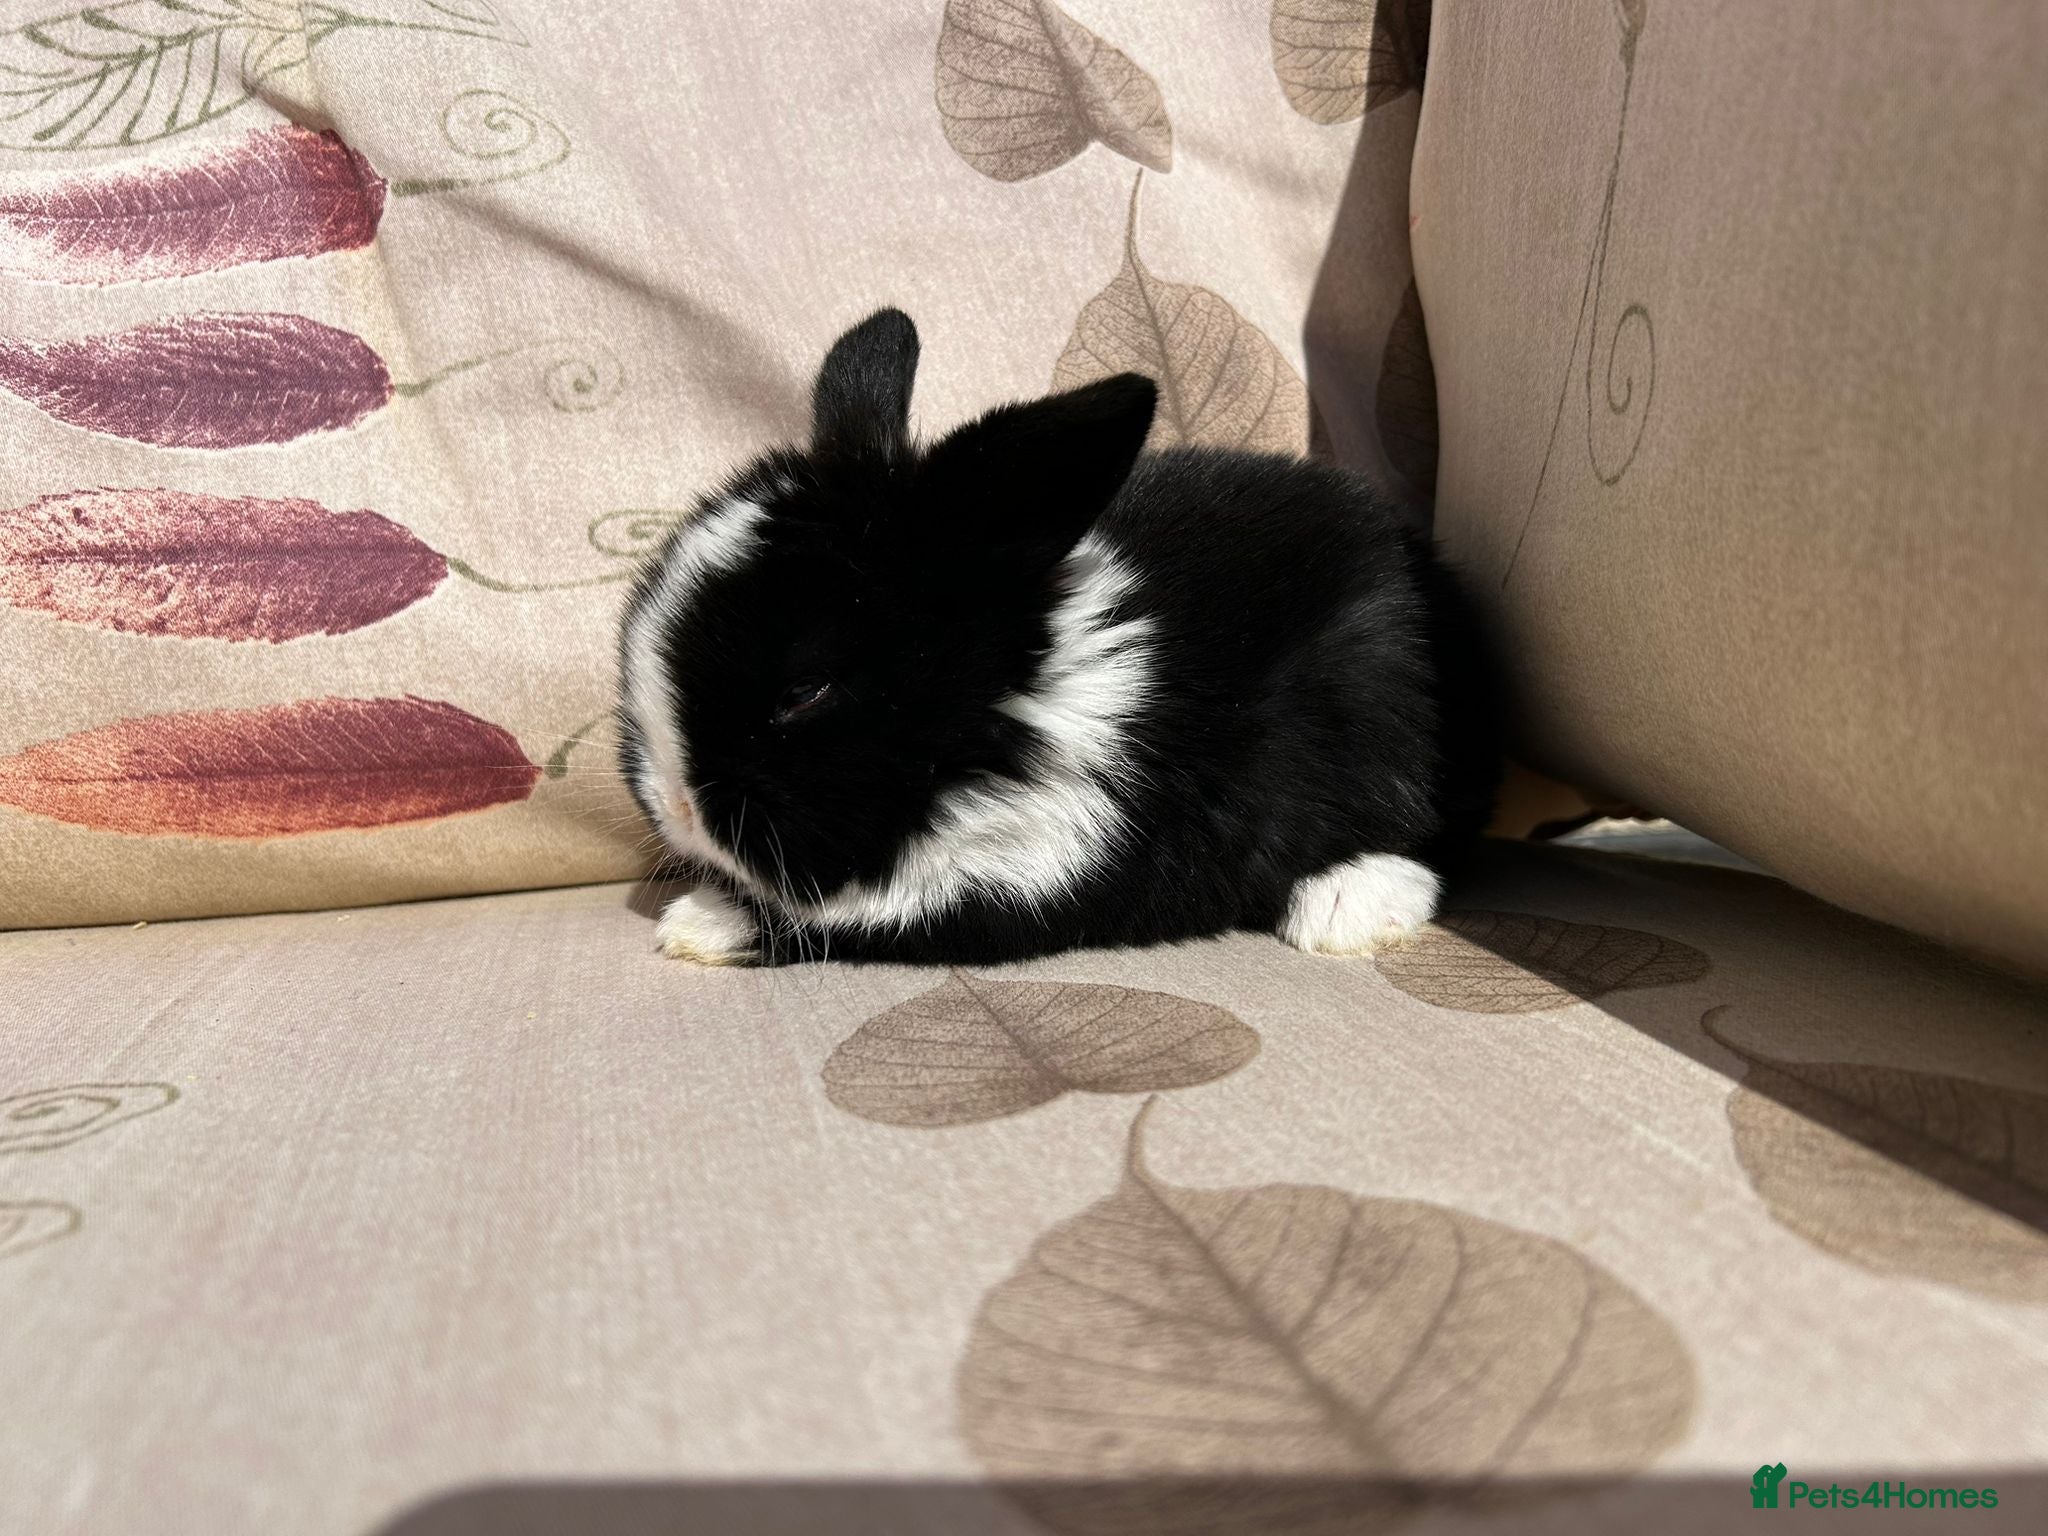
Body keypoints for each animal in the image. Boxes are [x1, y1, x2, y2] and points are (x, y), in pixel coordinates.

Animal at [617, 308, 1502, 967]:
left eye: (807, 689)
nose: (672, 808)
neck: (1003, 715)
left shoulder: (1027, 872)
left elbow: (848, 923)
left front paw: (699, 923)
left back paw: (1345, 908)